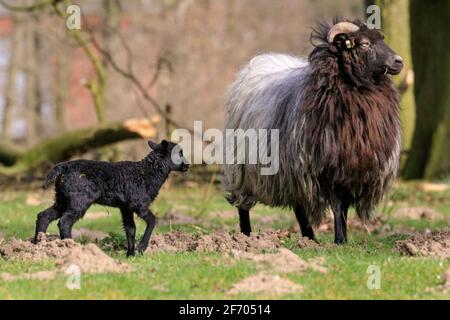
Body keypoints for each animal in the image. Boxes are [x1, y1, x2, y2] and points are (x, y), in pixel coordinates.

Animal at [223, 19, 402, 245]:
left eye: (381, 39)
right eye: (364, 44)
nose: (399, 61)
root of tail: (258, 62)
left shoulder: (352, 170)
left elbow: (344, 208)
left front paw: (343, 239)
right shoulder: (324, 169)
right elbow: (337, 206)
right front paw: (339, 240)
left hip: (290, 174)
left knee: (299, 207)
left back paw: (310, 238)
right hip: (243, 169)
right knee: (243, 205)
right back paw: (246, 236)